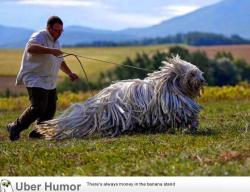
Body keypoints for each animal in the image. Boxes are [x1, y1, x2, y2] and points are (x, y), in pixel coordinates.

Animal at [36, 55, 205, 140]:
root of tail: (98, 102)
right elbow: (187, 115)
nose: (203, 80)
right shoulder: (176, 107)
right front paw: (192, 126)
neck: (170, 85)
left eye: (198, 72)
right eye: (192, 73)